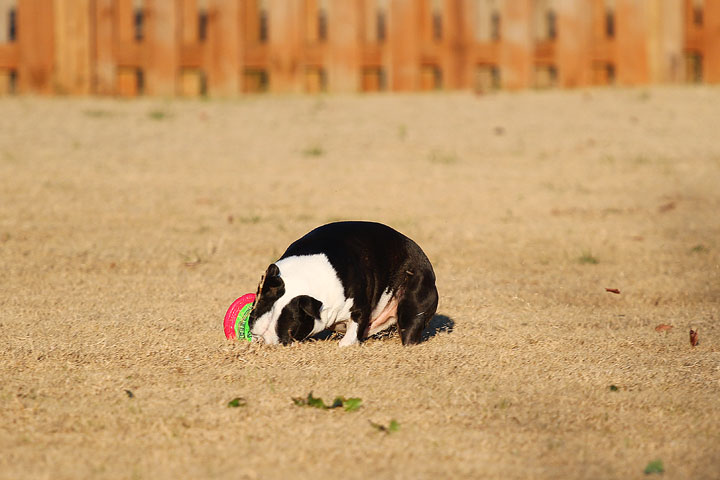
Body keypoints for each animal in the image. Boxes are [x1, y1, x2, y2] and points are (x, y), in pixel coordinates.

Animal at [248, 221, 438, 344]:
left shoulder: (360, 308)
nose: (262, 334)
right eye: (257, 305)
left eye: (291, 324)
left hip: (413, 303)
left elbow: (351, 334)